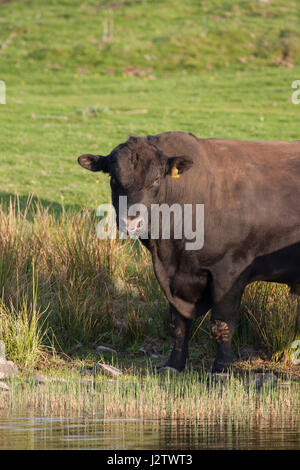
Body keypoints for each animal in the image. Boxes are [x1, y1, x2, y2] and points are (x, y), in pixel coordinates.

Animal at [79, 130, 300, 372]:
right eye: (113, 179)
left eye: (156, 180)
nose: (130, 222)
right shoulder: (172, 278)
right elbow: (179, 325)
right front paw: (174, 363)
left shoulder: (230, 272)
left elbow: (223, 323)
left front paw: (222, 367)